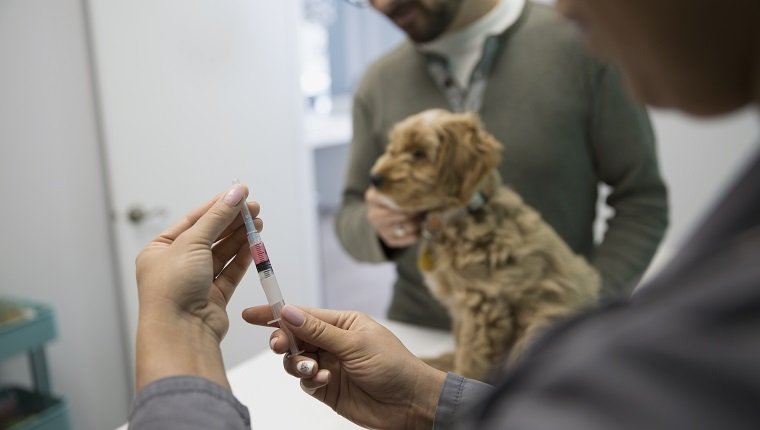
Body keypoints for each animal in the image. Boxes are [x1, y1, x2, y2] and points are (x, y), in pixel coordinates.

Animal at [372, 109, 604, 382]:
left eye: (418, 153)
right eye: (392, 147)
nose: (374, 178)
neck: (459, 215)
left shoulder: (483, 306)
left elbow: (471, 357)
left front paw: (459, 376)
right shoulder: (461, 307)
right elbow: (460, 341)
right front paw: (449, 366)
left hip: (540, 323)